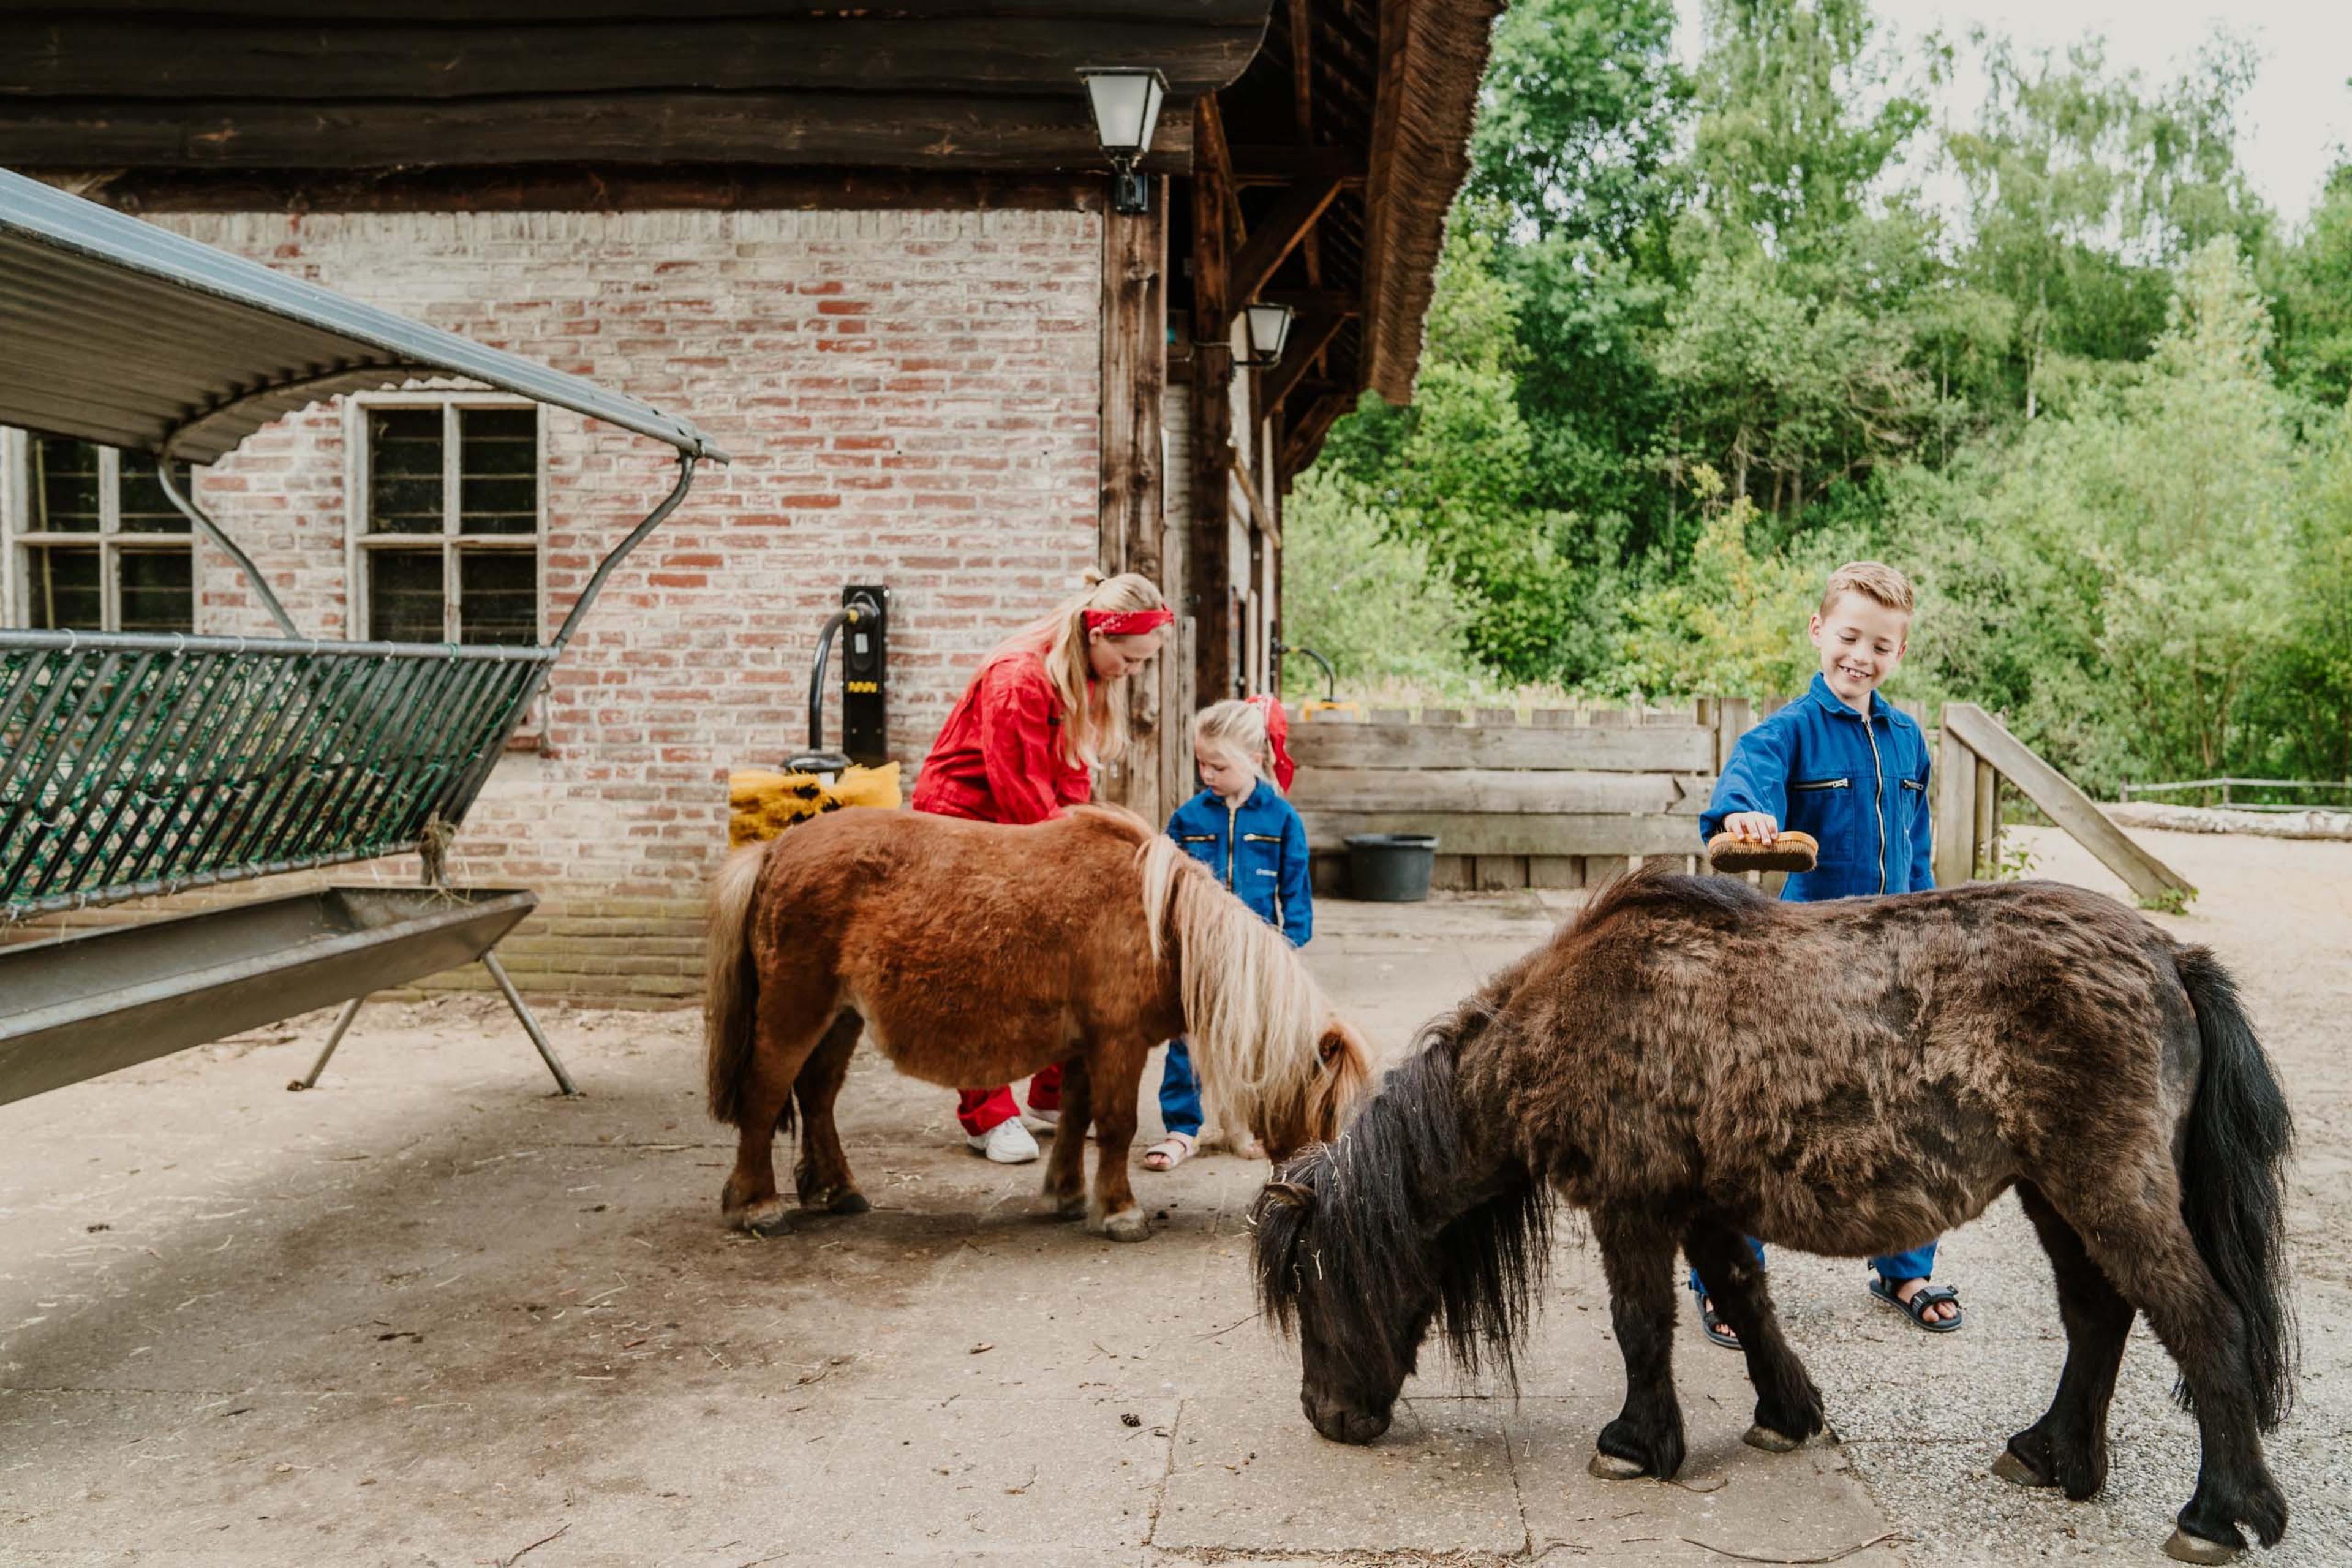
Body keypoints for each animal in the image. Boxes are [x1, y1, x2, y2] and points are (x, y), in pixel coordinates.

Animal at [704, 803, 1371, 1242]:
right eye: (1323, 1108)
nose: (1316, 1192)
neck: (1164, 926)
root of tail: (775, 851)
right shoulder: (1118, 1042)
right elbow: (1117, 1124)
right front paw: (1121, 1211)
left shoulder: (1084, 1045)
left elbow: (1077, 1116)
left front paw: (1070, 1195)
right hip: (796, 1011)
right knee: (765, 1093)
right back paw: (757, 1204)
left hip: (841, 1019)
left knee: (817, 1096)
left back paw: (837, 1190)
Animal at [1251, 865, 2295, 1565]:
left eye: (1317, 1286)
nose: (1324, 1417)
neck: (1567, 1019)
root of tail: (2168, 955)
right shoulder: (1704, 1205)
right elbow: (1746, 1301)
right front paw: (1787, 1414)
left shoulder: (1633, 1204)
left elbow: (1642, 1325)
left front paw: (1636, 1445)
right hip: (2057, 1191)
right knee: (2097, 1316)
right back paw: (2054, 1455)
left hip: (2108, 1185)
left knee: (2205, 1325)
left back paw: (2218, 1513)